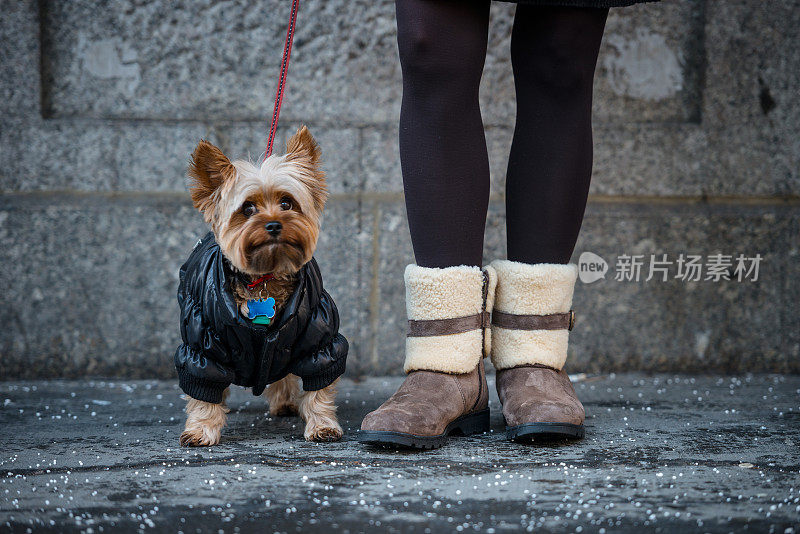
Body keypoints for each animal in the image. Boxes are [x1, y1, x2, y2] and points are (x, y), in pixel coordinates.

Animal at [178, 126, 344, 448]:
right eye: (247, 209)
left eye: (287, 203)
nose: (274, 224)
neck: (265, 278)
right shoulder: (202, 345)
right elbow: (203, 386)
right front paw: (201, 428)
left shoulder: (319, 339)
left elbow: (319, 386)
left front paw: (323, 424)